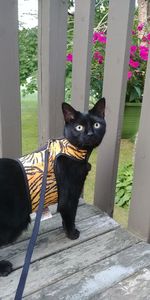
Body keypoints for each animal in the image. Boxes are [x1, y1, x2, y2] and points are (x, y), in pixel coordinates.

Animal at [0, 97, 106, 276]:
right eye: (79, 127)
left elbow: (65, 216)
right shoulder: (69, 196)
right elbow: (70, 215)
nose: (90, 134)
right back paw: (4, 267)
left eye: (97, 124)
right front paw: (72, 233)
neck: (73, 152)